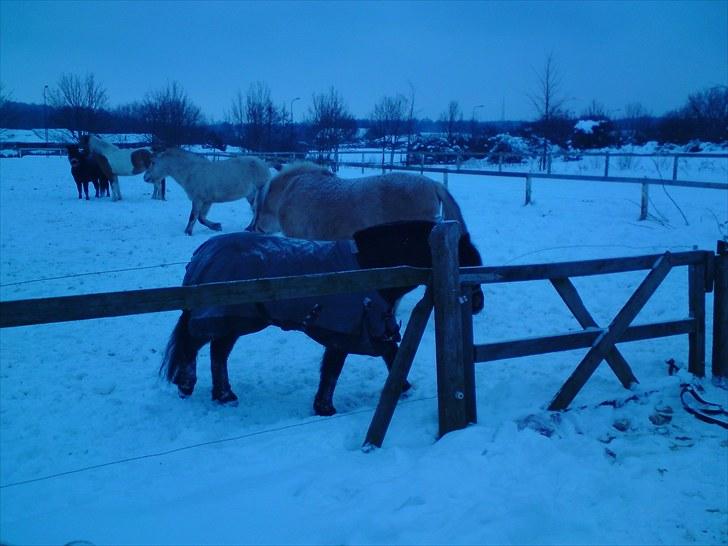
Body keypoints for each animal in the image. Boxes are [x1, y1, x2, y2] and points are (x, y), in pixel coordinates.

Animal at [142, 149, 270, 234]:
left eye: (153, 162)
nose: (145, 177)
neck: (191, 171)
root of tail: (264, 164)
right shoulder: (207, 201)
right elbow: (201, 218)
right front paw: (216, 226)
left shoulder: (198, 200)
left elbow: (193, 216)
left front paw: (188, 232)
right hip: (250, 195)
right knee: (255, 210)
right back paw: (249, 227)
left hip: (259, 191)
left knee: (257, 210)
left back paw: (252, 228)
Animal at [162, 219, 486, 414]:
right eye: (466, 261)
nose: (477, 303)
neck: (370, 267)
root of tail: (203, 252)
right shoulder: (348, 329)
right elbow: (335, 369)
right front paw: (326, 408)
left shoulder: (365, 327)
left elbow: (388, 356)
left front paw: (402, 389)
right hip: (229, 318)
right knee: (194, 344)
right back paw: (187, 385)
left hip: (237, 321)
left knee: (217, 352)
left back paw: (223, 395)